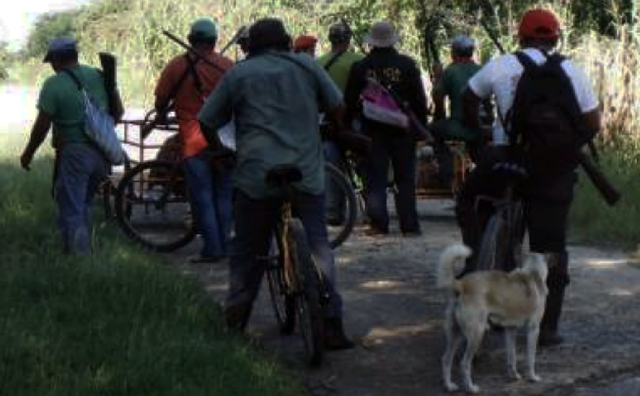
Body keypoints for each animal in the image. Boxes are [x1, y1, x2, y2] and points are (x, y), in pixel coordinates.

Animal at [438, 244, 548, 392]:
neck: (533, 272)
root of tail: (462, 284)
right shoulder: (533, 329)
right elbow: (531, 358)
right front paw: (532, 377)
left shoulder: (510, 331)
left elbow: (511, 357)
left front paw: (514, 375)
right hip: (476, 335)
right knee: (464, 363)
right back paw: (471, 388)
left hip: (456, 335)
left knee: (446, 359)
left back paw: (449, 386)